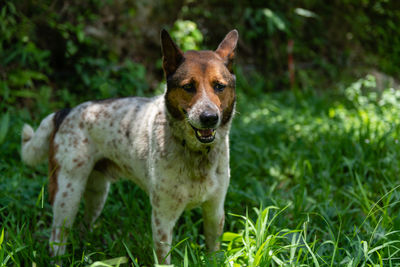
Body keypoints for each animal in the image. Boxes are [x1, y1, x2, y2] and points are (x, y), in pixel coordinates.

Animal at [21, 28, 238, 264]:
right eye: (189, 87)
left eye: (219, 86)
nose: (209, 118)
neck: (196, 154)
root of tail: (65, 111)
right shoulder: (163, 217)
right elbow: (164, 259)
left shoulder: (215, 212)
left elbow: (214, 253)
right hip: (67, 194)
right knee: (56, 240)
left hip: (97, 193)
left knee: (83, 227)